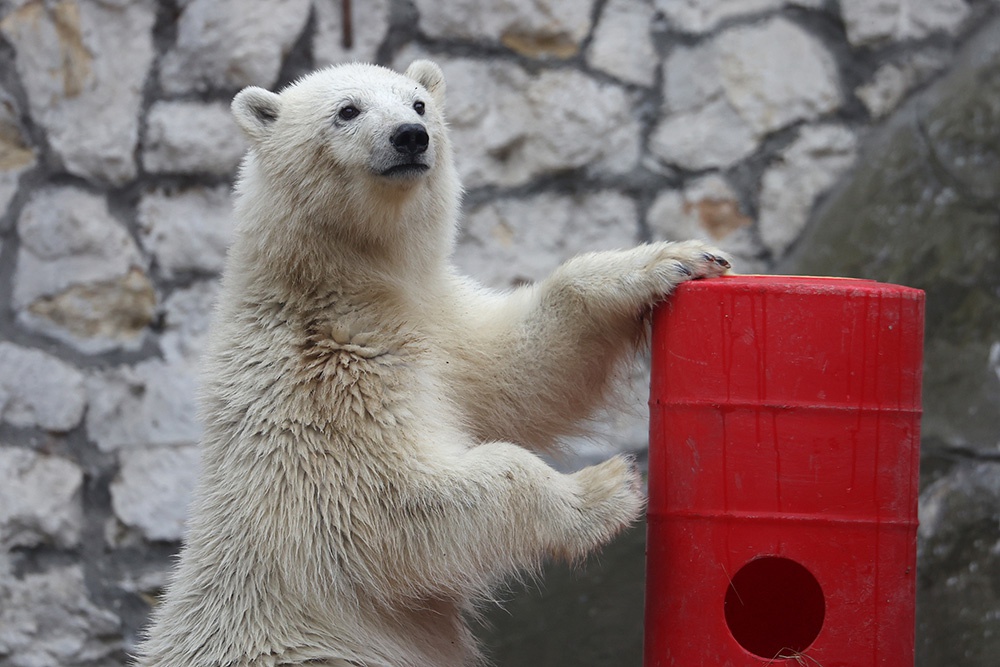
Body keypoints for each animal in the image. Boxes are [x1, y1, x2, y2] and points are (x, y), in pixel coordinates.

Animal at [131, 58, 728, 667]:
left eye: (418, 102)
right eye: (348, 110)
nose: (410, 137)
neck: (336, 287)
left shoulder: (439, 328)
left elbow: (519, 376)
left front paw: (672, 260)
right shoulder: (316, 385)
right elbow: (384, 506)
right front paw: (606, 488)